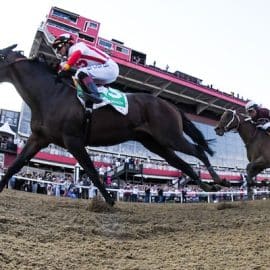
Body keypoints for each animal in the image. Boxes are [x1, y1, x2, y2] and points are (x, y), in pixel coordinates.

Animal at [0, 44, 225, 205]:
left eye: (1, 55)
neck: (50, 93)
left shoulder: (73, 140)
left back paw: (218, 181)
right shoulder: (39, 138)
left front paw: (109, 200)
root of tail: (170, 104)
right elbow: (15, 165)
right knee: (182, 163)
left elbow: (91, 171)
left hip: (170, 135)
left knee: (198, 151)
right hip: (154, 143)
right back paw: (208, 187)